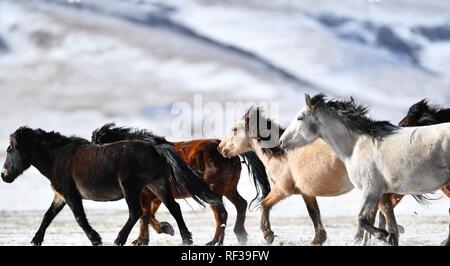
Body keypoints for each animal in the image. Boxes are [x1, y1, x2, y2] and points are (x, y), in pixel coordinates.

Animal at [0, 126, 222, 245]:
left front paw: (96, 238)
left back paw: (119, 239)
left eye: (10, 150)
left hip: (131, 187)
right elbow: (47, 216)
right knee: (173, 208)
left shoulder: (71, 195)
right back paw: (186, 238)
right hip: (157, 184)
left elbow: (80, 218)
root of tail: (154, 147)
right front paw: (36, 239)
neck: (57, 158)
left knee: (136, 212)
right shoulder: (60, 196)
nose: (4, 176)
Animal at [89, 123, 268, 246]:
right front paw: (152, 234)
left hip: (215, 191)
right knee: (240, 205)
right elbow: (148, 215)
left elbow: (145, 215)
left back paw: (215, 241)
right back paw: (239, 235)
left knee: (221, 214)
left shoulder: (146, 195)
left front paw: (152, 234)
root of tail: (225, 151)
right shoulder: (156, 196)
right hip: (229, 189)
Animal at [282, 94, 450, 245]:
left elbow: (362, 220)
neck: (356, 146)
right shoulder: (378, 194)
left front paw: (385, 236)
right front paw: (387, 236)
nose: (282, 141)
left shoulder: (371, 191)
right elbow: (374, 223)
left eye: (300, 117)